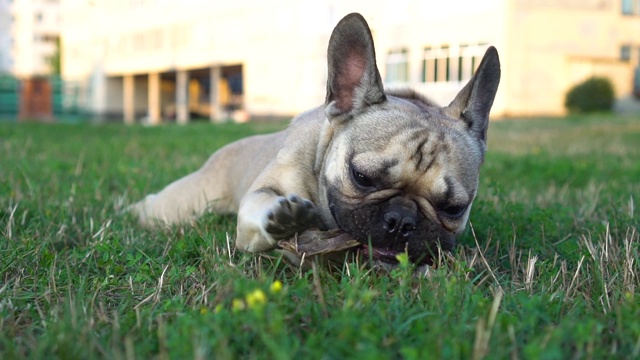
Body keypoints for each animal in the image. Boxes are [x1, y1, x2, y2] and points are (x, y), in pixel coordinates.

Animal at [132, 12, 502, 266]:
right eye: (361, 177)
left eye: (454, 208)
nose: (401, 221)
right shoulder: (258, 201)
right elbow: (261, 206)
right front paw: (285, 218)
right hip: (183, 204)